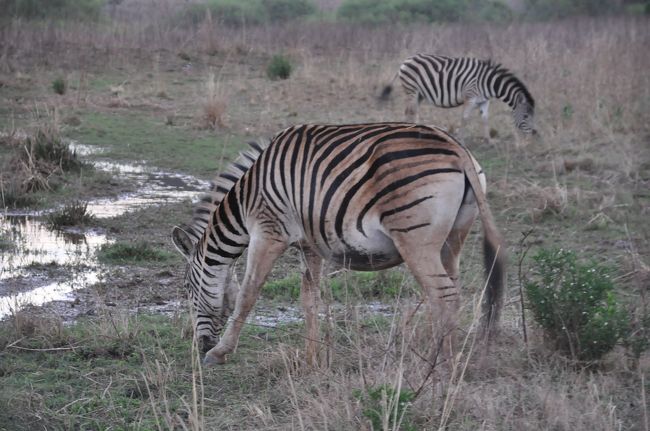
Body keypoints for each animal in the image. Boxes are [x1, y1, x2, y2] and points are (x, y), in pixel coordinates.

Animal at [170, 122, 504, 368]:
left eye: (187, 289)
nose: (199, 346)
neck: (246, 199)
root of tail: (457, 148)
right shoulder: (308, 245)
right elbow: (309, 300)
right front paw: (311, 357)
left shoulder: (268, 232)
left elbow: (247, 295)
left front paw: (220, 352)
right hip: (453, 238)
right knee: (454, 291)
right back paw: (451, 355)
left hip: (415, 240)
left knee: (442, 295)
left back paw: (439, 364)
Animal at [378, 53, 536, 139]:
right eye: (526, 116)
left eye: (533, 116)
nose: (534, 133)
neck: (488, 83)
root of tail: (405, 61)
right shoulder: (470, 97)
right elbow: (465, 118)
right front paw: (461, 139)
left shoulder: (484, 101)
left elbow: (485, 119)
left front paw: (489, 140)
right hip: (412, 89)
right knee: (411, 111)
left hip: (419, 94)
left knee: (411, 111)